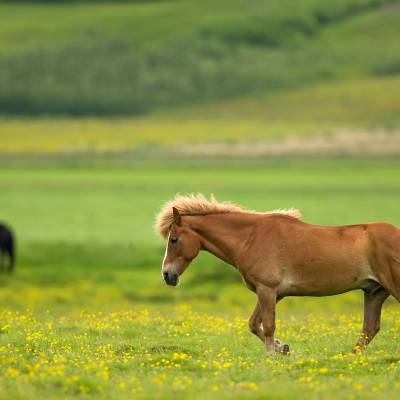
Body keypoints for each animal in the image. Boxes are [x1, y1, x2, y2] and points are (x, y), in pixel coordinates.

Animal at [155, 195, 400, 354]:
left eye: (174, 239)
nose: (167, 275)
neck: (251, 237)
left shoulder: (268, 289)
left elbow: (268, 326)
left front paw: (272, 357)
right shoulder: (271, 293)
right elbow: (255, 324)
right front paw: (283, 348)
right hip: (375, 292)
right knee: (370, 328)